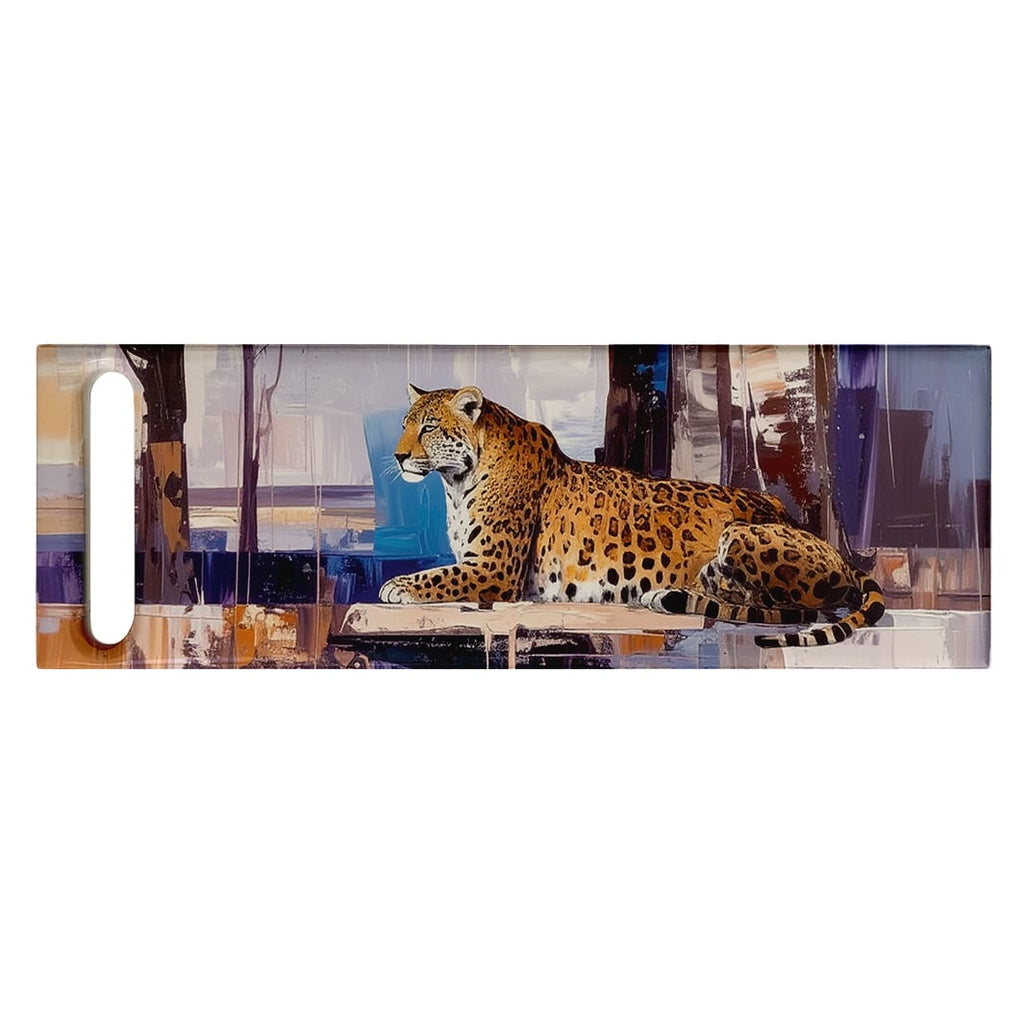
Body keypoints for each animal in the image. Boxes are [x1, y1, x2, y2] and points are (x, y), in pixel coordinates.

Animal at [378, 384, 886, 647]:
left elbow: (438, 577)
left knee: (786, 605)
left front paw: (396, 586)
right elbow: (441, 572)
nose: (398, 455)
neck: (456, 482)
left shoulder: (493, 569)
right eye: (404, 423)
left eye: (429, 427)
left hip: (742, 535)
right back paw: (670, 594)